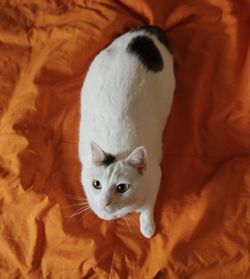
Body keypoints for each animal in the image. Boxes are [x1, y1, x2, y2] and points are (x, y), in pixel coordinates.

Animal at [79, 26, 175, 238]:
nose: (105, 202)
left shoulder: (155, 176)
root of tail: (145, 32)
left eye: (122, 187)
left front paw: (147, 227)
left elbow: (147, 206)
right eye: (96, 184)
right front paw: (102, 211)